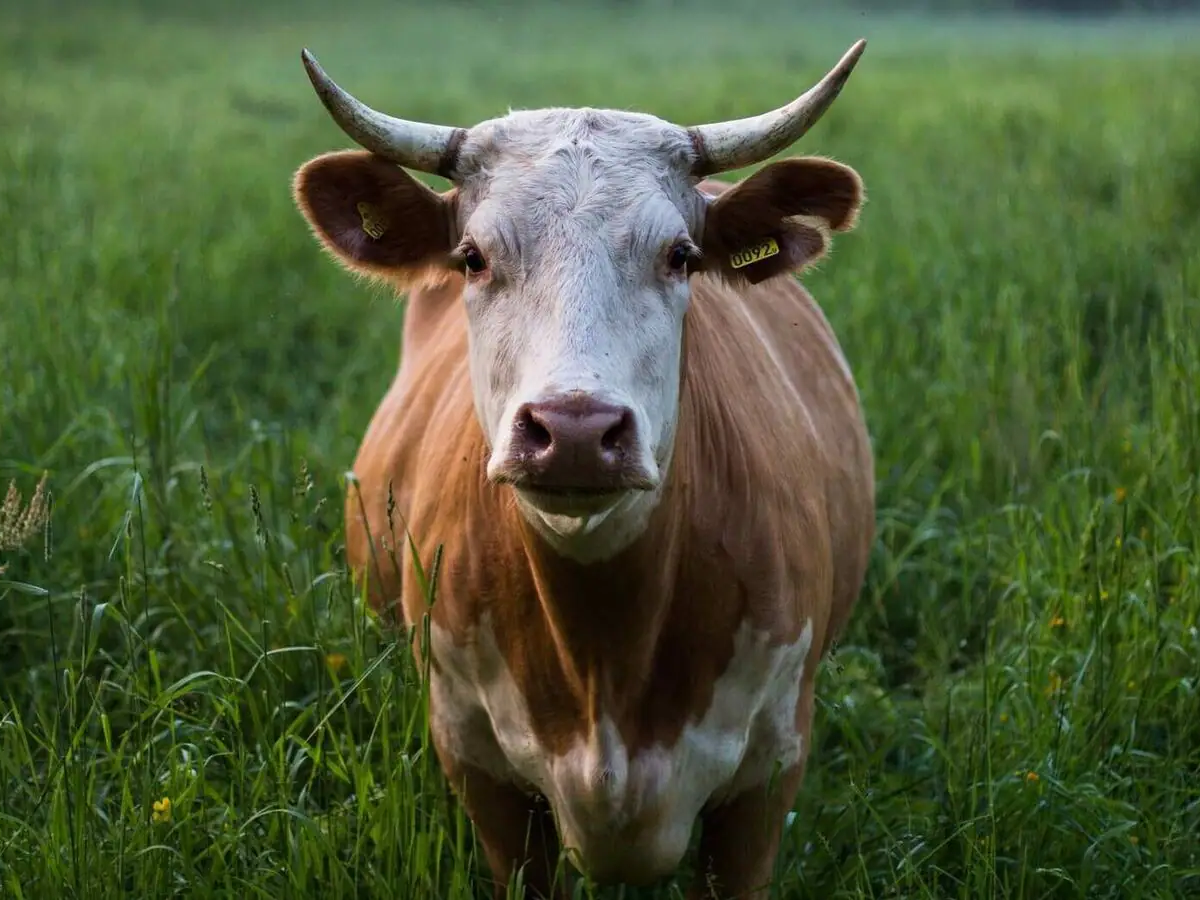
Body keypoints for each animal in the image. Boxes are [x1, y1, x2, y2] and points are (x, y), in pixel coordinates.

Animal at [291, 39, 876, 900]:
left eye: (680, 256)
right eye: (473, 257)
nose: (573, 430)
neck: (605, 659)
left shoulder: (768, 776)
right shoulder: (479, 768)